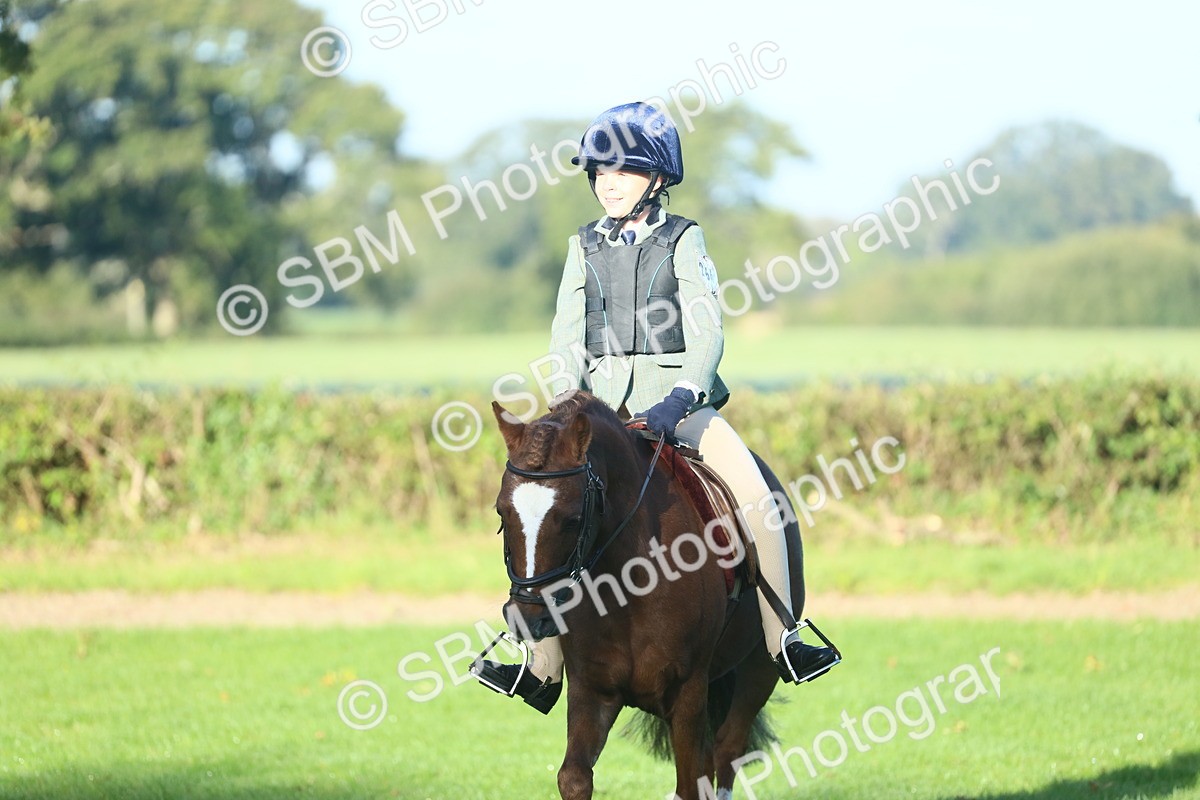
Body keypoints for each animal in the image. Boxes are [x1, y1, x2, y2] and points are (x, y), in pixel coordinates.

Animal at [487, 390, 812, 800]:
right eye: (501, 512)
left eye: (574, 518)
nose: (528, 618)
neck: (627, 583)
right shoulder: (592, 689)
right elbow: (573, 778)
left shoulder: (687, 692)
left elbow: (690, 784)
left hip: (758, 669)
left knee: (727, 750)